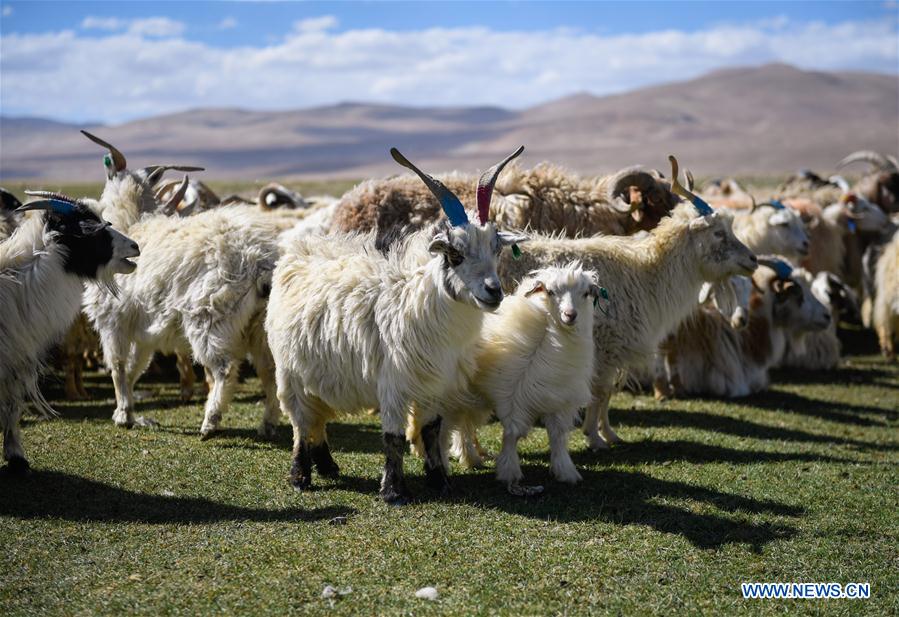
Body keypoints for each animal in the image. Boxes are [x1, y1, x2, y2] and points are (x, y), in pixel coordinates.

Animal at [268, 147, 528, 502]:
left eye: (496, 248)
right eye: (455, 255)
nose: (493, 291)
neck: (420, 302)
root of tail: (300, 252)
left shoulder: (435, 385)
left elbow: (431, 431)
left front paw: (439, 480)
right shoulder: (392, 383)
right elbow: (393, 437)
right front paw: (393, 492)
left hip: (320, 372)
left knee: (317, 417)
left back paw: (327, 465)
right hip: (289, 371)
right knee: (300, 421)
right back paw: (300, 475)